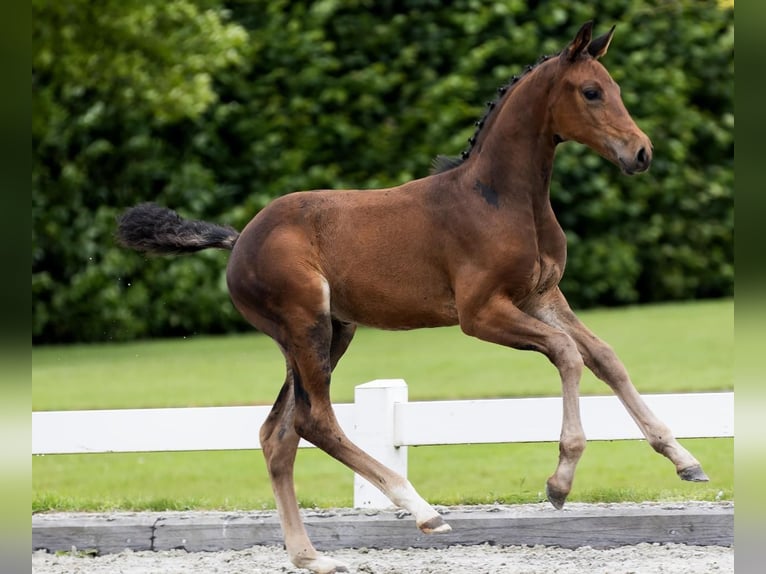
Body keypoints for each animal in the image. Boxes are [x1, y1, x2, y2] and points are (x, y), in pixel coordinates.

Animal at [117, 22, 712, 574]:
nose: (641, 153)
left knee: (277, 433)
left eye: (614, 88)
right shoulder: (480, 313)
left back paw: (311, 556)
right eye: (590, 92)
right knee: (315, 421)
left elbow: (605, 357)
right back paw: (423, 511)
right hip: (306, 326)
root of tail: (239, 239)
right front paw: (560, 482)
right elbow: (568, 355)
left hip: (328, 332)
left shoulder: (543, 296)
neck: (501, 199)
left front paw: (685, 460)